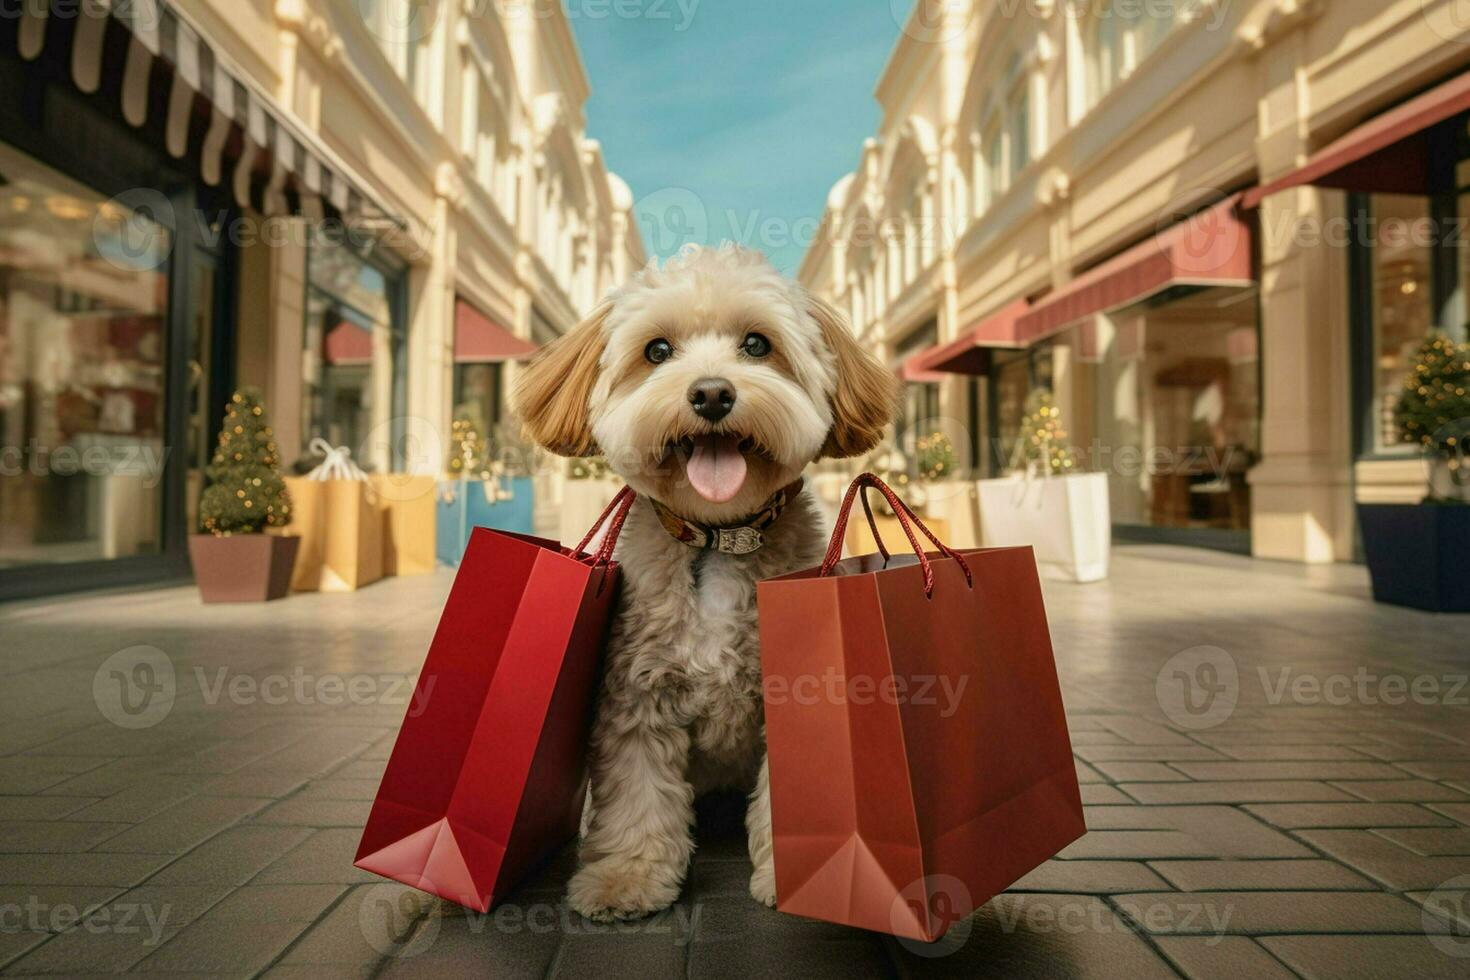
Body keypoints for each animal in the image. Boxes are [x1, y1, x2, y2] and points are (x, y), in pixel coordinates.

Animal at [511, 243, 887, 922]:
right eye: (657, 351)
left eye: (757, 344)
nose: (712, 394)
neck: (719, 538)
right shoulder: (636, 697)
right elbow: (636, 796)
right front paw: (627, 878)